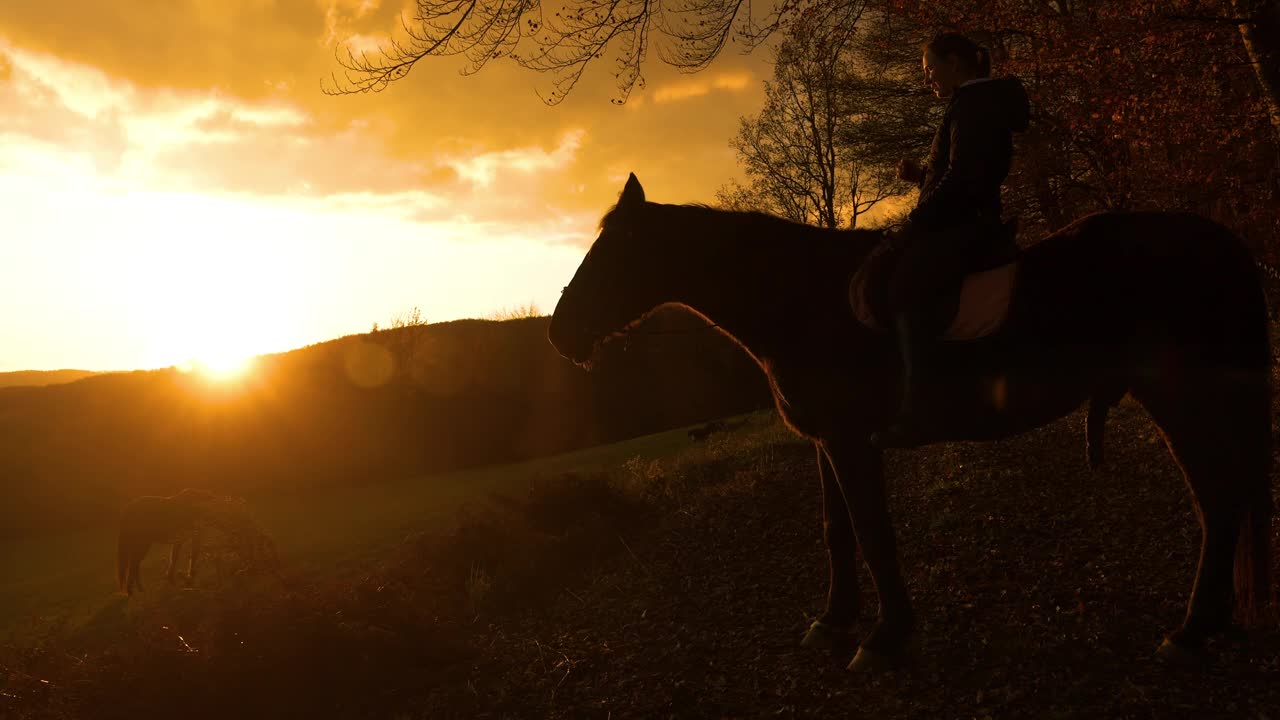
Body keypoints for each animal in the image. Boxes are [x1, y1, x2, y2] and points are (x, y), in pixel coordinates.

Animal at [547, 172, 1269, 666]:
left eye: (613, 255)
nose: (558, 333)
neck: (802, 299)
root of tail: (1221, 241)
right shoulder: (825, 442)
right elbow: (837, 533)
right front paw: (833, 623)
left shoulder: (851, 443)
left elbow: (873, 534)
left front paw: (885, 637)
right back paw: (1209, 621)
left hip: (1180, 398)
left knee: (1217, 501)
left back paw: (1191, 630)